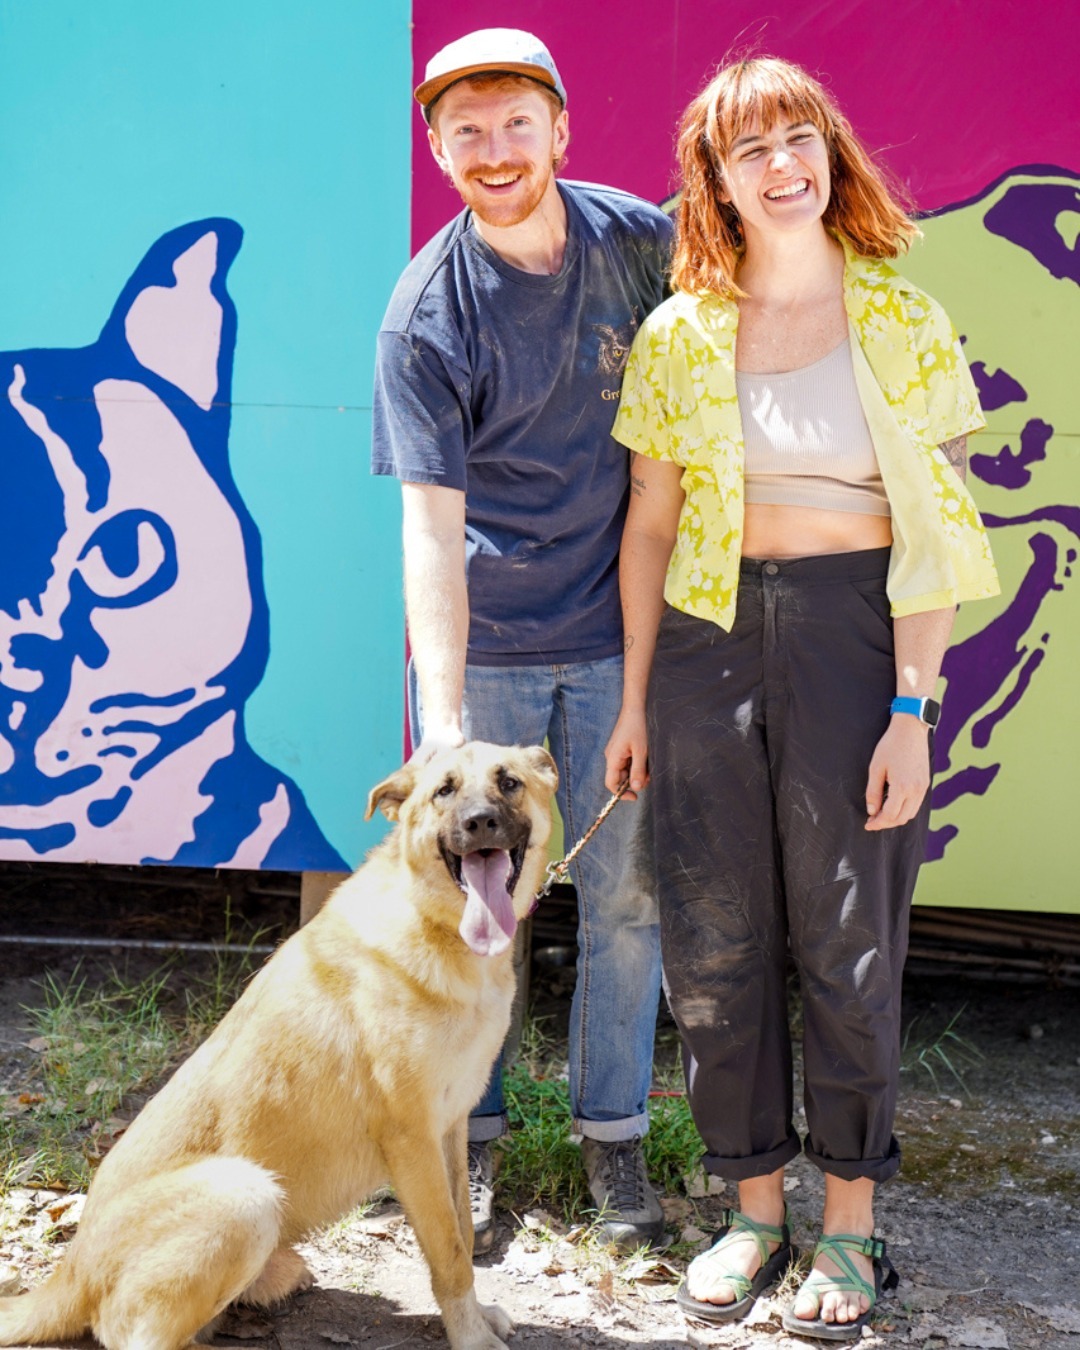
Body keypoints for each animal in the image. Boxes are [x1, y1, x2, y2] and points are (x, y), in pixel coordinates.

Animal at [0, 739, 556, 1350]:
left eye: (509, 783)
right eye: (444, 791)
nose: (479, 822)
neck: (436, 927)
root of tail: (70, 1271)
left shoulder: (451, 1129)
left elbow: (462, 1228)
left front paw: (477, 1316)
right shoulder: (413, 1138)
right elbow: (450, 1253)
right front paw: (471, 1335)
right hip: (246, 1195)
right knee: (131, 1336)